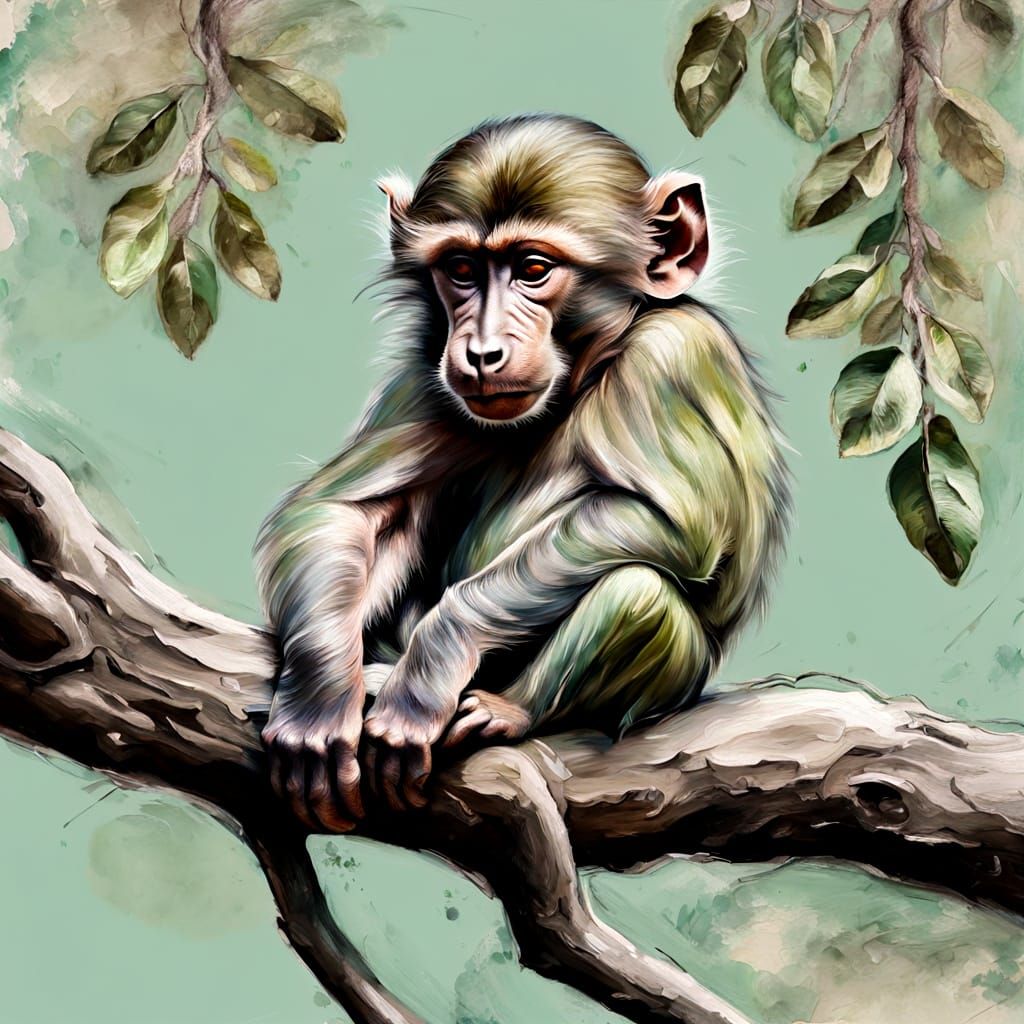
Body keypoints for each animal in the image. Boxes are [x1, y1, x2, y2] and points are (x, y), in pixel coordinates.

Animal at [255, 114, 790, 832]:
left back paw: (508, 708)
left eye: (534, 269)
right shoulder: (423, 375)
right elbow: (341, 509)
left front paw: (430, 670)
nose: (482, 350)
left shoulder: (675, 353)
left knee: (640, 592)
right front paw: (320, 693)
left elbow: (672, 526)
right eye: (461, 269)